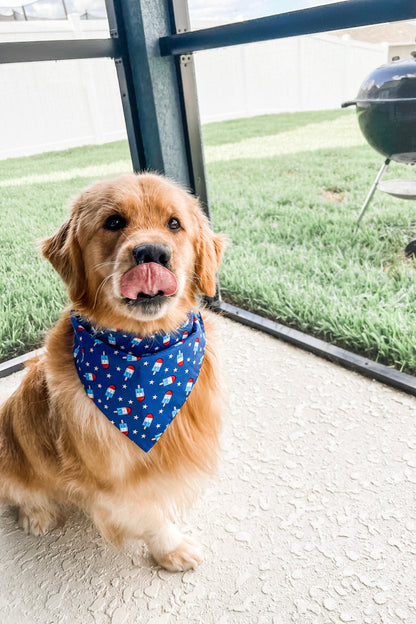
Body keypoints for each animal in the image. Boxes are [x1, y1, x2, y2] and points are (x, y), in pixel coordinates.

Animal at [0, 173, 226, 572]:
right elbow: (151, 515)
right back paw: (36, 515)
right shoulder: (116, 482)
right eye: (114, 222)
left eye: (174, 224)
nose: (152, 253)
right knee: (23, 494)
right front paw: (172, 548)